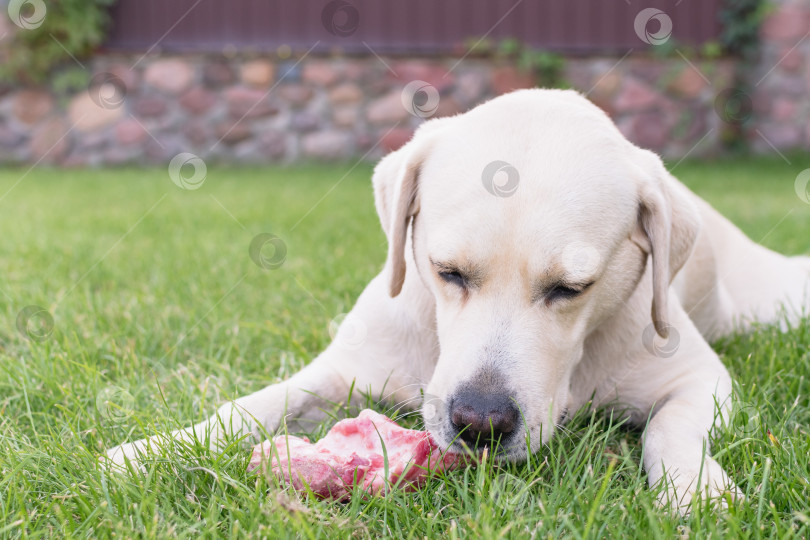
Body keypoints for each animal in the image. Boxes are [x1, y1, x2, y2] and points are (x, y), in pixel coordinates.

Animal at [109, 88, 808, 510]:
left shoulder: (701, 379)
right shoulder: (339, 369)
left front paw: (695, 491)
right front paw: (151, 451)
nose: (480, 423)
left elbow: (671, 427)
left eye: (571, 289)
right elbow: (252, 406)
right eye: (447, 272)